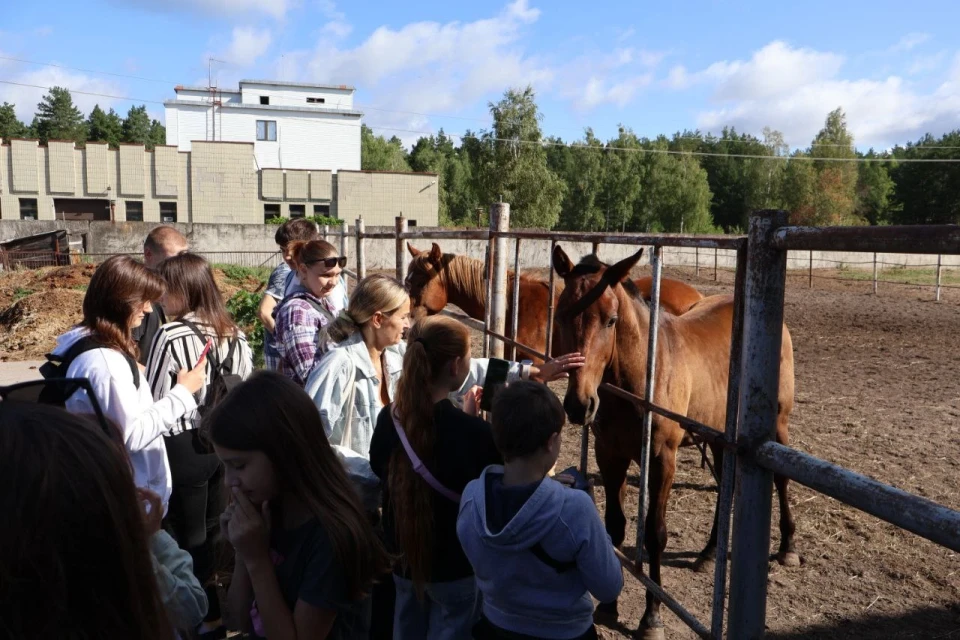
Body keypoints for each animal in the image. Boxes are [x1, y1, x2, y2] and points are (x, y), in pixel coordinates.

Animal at [552, 245, 800, 640]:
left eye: (611, 320)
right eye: (561, 314)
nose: (579, 404)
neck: (643, 375)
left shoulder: (660, 460)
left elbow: (655, 534)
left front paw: (651, 617)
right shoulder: (610, 454)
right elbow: (614, 526)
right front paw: (608, 604)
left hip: (778, 424)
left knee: (780, 479)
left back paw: (788, 546)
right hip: (717, 437)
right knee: (725, 488)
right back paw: (709, 554)